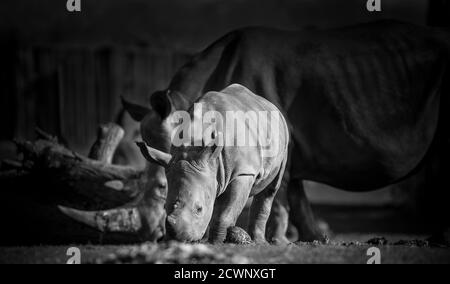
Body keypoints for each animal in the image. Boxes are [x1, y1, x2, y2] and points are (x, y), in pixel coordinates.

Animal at [139, 83, 290, 243]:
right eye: (165, 206)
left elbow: (225, 212)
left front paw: (216, 242)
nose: (177, 238)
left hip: (283, 135)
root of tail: (267, 102)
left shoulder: (243, 172)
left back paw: (258, 241)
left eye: (199, 209)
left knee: (271, 189)